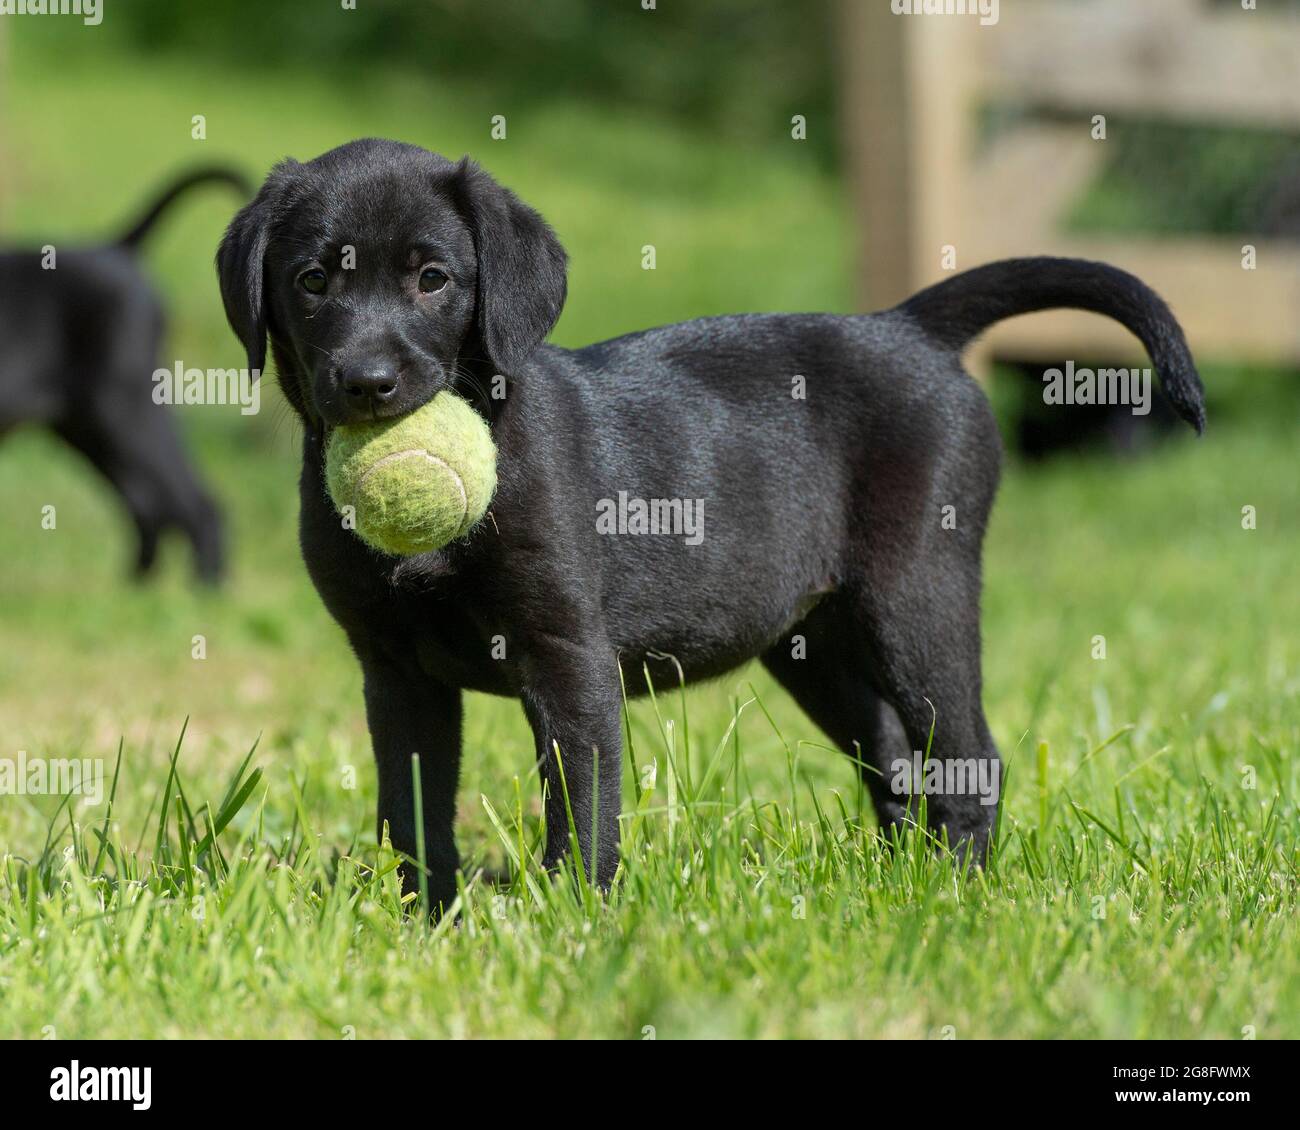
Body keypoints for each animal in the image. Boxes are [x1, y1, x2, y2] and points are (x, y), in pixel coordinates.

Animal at [0, 167, 245, 582]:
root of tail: (117, 249)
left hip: (124, 410)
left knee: (197, 505)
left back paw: (201, 591)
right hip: (91, 428)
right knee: (146, 504)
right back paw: (134, 588)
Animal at [215, 136, 1206, 910]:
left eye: (432, 279)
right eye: (312, 280)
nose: (367, 384)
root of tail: (907, 328)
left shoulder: (567, 655)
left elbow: (582, 803)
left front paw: (574, 916)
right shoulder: (395, 671)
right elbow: (413, 808)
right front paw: (426, 919)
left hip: (916, 593)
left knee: (968, 758)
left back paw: (957, 892)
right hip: (816, 640)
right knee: (894, 757)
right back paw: (904, 884)